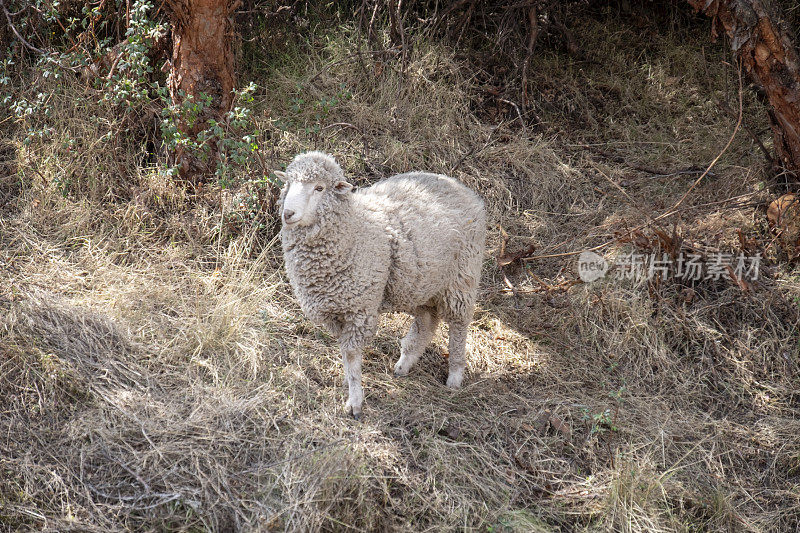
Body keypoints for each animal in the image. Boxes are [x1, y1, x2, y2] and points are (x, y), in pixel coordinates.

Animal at [276, 152, 488, 418]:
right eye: (288, 183)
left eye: (319, 188)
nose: (288, 213)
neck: (353, 231)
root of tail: (461, 186)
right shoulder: (334, 310)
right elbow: (345, 352)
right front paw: (348, 380)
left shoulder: (360, 309)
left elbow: (351, 353)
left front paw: (355, 401)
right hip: (421, 283)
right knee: (426, 322)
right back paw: (404, 364)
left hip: (461, 278)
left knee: (458, 326)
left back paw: (455, 376)